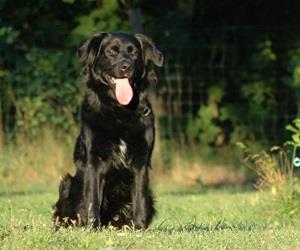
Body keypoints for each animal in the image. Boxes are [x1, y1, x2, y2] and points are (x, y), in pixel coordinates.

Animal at [52, 32, 163, 229]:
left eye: (134, 53)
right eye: (112, 52)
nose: (126, 67)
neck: (119, 111)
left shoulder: (141, 161)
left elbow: (140, 197)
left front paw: (139, 227)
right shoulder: (95, 160)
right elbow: (92, 198)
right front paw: (93, 226)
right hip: (67, 182)